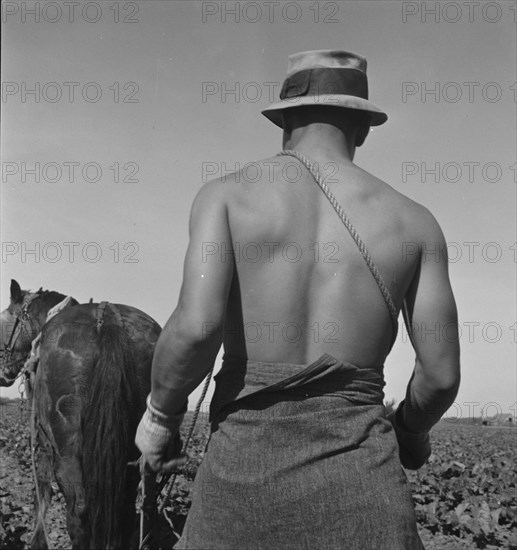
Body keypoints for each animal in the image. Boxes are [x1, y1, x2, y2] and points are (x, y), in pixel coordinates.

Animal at [0, 282, 161, 548]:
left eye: (3, 319)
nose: (4, 373)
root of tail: (109, 320)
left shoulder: (42, 441)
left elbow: (41, 493)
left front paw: (37, 540)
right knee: (130, 508)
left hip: (66, 449)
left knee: (79, 511)